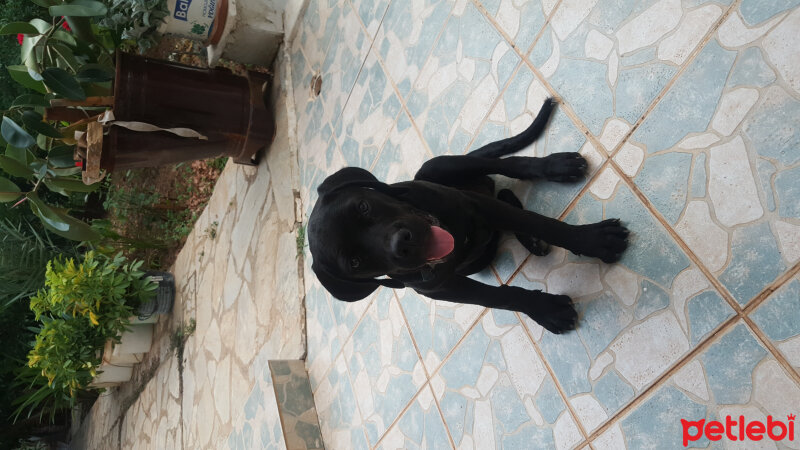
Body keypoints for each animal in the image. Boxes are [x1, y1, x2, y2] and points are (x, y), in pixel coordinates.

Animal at [310, 99, 628, 334]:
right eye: (355, 262)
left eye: (363, 207)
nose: (403, 242)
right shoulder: (444, 288)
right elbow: (499, 298)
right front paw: (546, 310)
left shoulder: (478, 207)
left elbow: (546, 224)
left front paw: (595, 240)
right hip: (478, 259)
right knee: (504, 195)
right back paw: (530, 240)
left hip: (443, 166)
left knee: (511, 167)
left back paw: (556, 167)